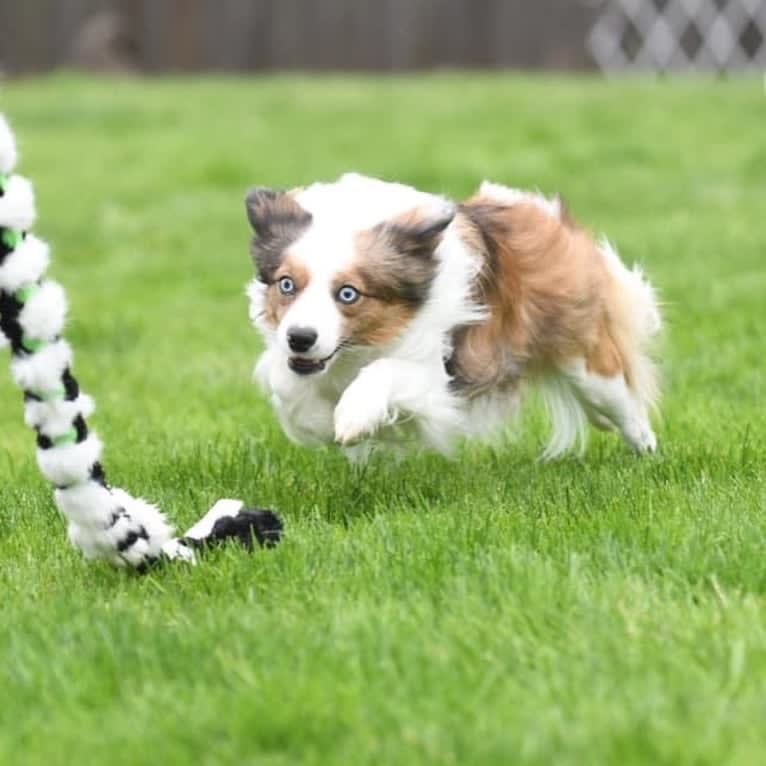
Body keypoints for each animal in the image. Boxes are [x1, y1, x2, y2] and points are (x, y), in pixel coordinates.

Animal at [244, 174, 660, 462]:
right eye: (286, 284)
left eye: (348, 294)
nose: (300, 338)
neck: (358, 348)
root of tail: (544, 213)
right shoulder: (293, 362)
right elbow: (289, 386)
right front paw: (322, 424)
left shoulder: (440, 374)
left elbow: (384, 372)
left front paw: (352, 420)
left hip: (585, 361)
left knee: (623, 400)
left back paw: (646, 448)